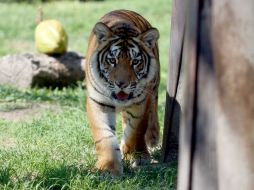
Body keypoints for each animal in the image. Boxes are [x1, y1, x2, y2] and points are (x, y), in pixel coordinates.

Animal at [85, 8, 161, 175]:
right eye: (112, 60)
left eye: (135, 62)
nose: (121, 84)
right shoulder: (98, 102)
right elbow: (104, 136)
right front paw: (108, 168)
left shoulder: (141, 102)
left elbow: (136, 131)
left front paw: (134, 155)